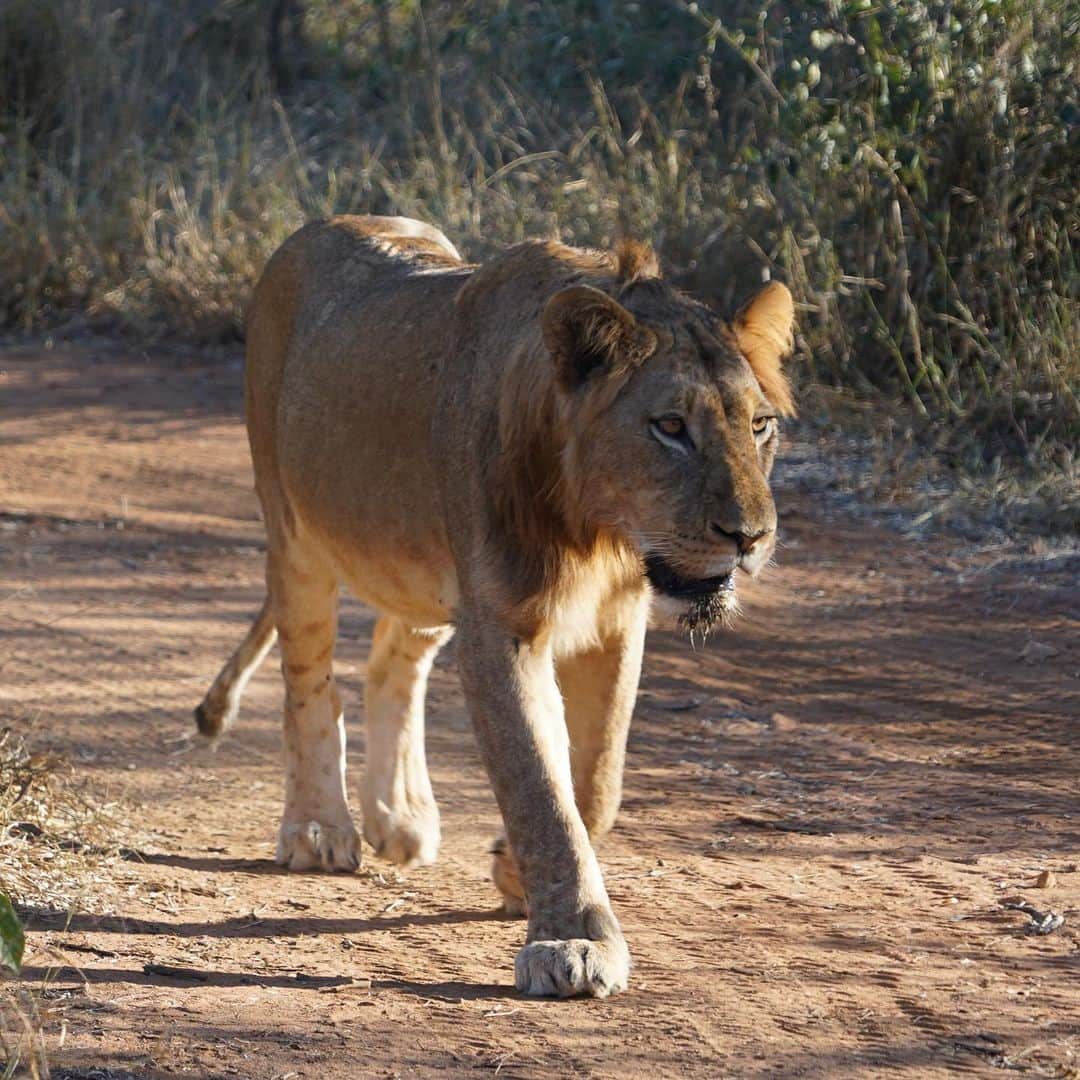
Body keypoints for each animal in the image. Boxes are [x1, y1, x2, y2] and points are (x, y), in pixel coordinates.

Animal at [196, 214, 794, 997]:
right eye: (669, 426)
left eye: (759, 426)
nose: (750, 536)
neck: (596, 533)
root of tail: (321, 225)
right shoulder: (500, 625)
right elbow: (538, 783)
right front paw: (575, 940)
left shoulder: (615, 622)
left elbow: (595, 781)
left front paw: (515, 868)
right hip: (294, 532)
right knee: (311, 685)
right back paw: (319, 828)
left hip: (424, 568)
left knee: (393, 663)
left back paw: (401, 816)